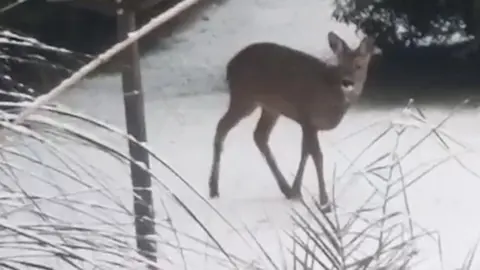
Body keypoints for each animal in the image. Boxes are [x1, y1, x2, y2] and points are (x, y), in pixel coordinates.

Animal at [208, 31, 376, 212]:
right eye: (341, 64)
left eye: (359, 65)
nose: (347, 82)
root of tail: (230, 65)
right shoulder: (308, 117)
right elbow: (317, 156)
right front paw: (325, 203)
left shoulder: (307, 122)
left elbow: (305, 152)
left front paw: (297, 191)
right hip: (244, 97)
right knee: (222, 127)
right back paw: (213, 189)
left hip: (270, 107)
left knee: (259, 135)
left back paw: (286, 189)